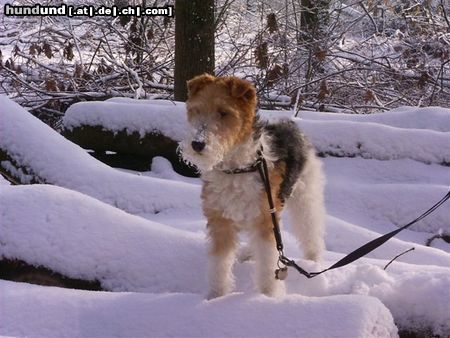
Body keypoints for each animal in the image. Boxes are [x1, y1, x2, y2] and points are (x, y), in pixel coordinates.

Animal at [180, 74, 326, 298]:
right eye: (196, 110)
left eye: (224, 112)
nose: (197, 144)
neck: (237, 167)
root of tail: (290, 125)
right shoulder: (220, 221)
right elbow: (219, 263)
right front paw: (216, 297)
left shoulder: (265, 218)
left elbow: (268, 264)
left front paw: (267, 297)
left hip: (305, 198)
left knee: (311, 231)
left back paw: (314, 262)